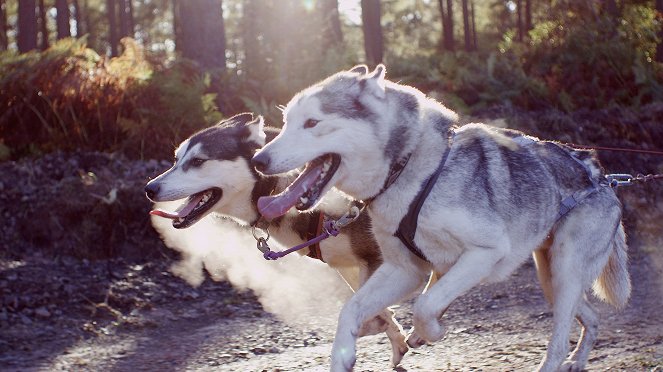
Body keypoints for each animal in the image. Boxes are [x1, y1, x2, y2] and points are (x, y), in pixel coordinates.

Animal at [145, 114, 412, 366]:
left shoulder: (377, 259)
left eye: (198, 161)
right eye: (176, 160)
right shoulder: (350, 265)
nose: (150, 188)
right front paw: (395, 337)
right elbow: (374, 307)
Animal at [250, 65, 632, 370]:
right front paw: (345, 356)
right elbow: (351, 311)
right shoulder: (404, 270)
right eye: (286, 123)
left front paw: (430, 331)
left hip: (564, 271)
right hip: (550, 277)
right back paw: (578, 360)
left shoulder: (484, 255)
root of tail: (601, 176)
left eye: (312, 123)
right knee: (591, 318)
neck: (411, 171)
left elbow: (424, 306)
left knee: (558, 341)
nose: (258, 160)